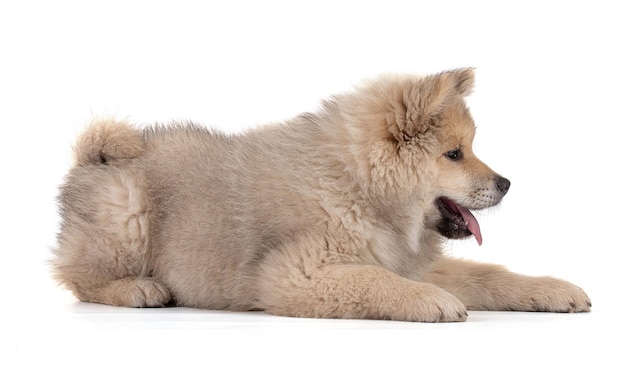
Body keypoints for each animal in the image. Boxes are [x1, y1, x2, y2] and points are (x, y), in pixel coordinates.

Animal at [51, 68, 588, 322]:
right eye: (455, 154)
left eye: (468, 148)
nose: (506, 184)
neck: (360, 188)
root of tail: (93, 159)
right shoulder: (293, 273)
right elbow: (372, 280)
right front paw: (427, 300)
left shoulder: (410, 259)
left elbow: (492, 274)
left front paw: (552, 289)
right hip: (129, 215)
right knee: (78, 277)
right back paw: (139, 289)